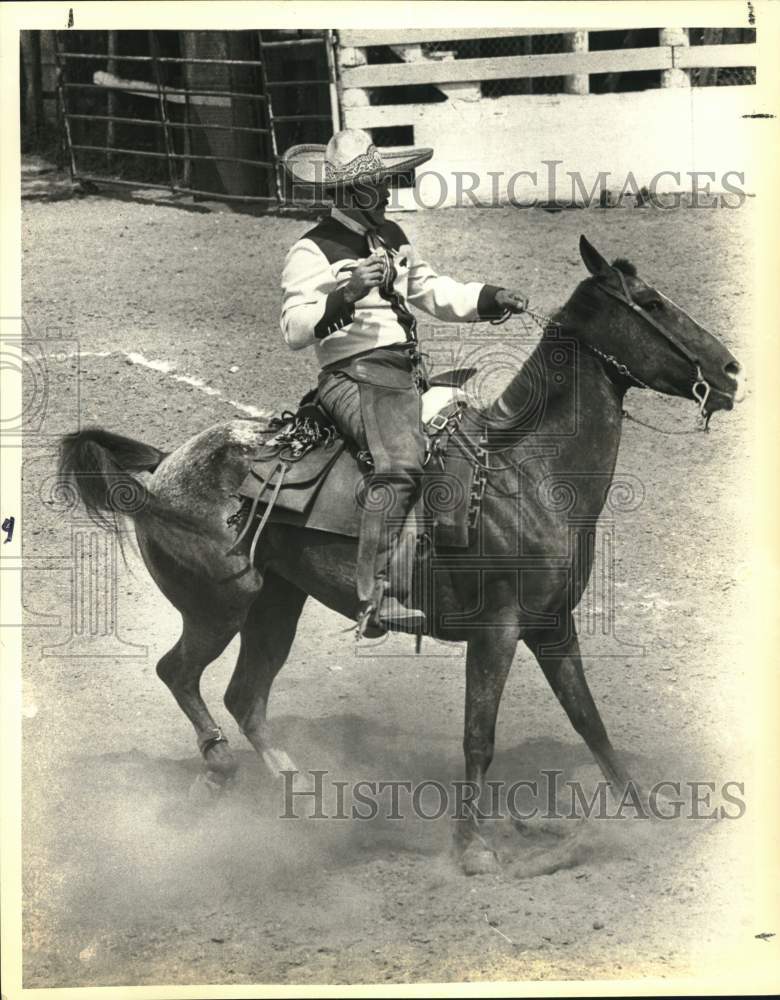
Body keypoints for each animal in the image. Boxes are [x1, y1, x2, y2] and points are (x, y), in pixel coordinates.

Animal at [58, 238, 740, 872]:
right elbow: (478, 737)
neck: (526, 473)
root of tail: (162, 467)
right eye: (651, 303)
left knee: (245, 696)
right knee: (178, 673)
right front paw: (474, 848)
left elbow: (590, 721)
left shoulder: (553, 625)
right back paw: (222, 766)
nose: (730, 371)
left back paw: (303, 795)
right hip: (220, 606)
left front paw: (644, 818)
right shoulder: (497, 630)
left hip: (278, 606)